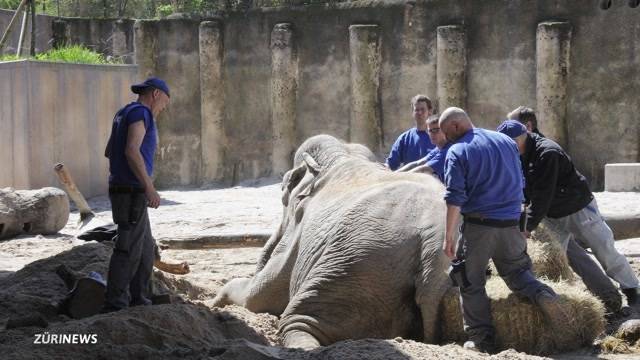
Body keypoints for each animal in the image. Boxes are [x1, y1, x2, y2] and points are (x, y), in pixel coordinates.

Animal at [211, 135, 450, 348]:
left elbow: (258, 297)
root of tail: (433, 245)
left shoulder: (297, 236)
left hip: (357, 262)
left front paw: (215, 303)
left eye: (283, 196)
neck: (343, 156)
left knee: (299, 322)